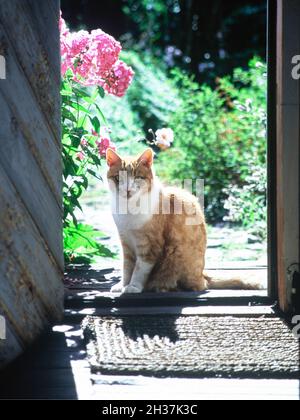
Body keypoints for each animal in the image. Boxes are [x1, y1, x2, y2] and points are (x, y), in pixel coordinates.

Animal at [106, 149, 258, 294]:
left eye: (137, 177)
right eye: (118, 178)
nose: (127, 190)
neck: (128, 209)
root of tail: (202, 275)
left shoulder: (149, 246)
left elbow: (139, 270)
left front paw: (133, 286)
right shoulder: (126, 241)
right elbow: (127, 267)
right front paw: (123, 285)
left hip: (175, 256)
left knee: (194, 285)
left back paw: (162, 287)